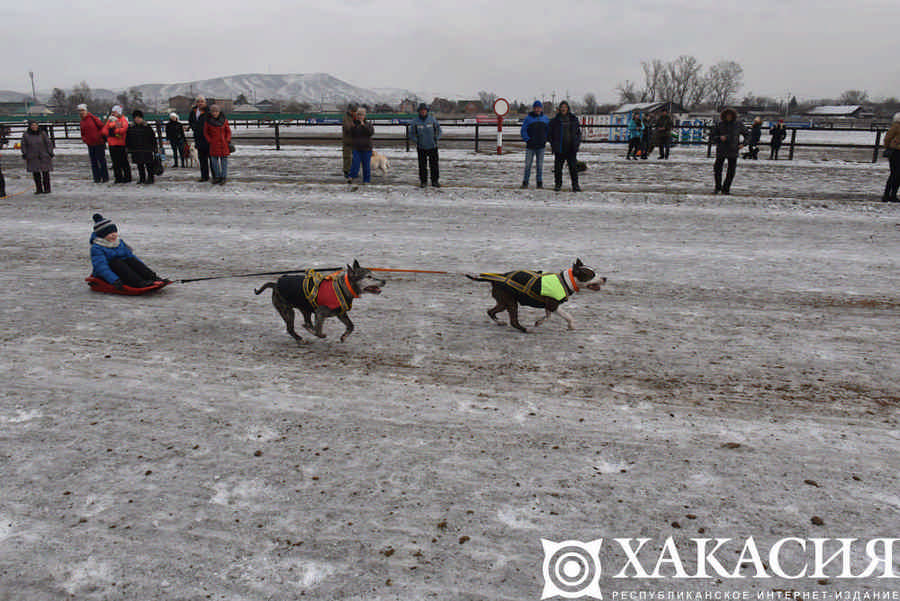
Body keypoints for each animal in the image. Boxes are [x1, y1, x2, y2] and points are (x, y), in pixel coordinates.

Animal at [251, 262, 384, 344]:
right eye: (369, 276)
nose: (384, 281)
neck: (344, 286)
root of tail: (275, 284)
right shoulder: (320, 312)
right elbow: (319, 331)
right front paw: (320, 334)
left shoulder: (341, 313)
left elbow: (351, 325)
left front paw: (344, 336)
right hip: (287, 310)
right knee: (291, 328)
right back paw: (300, 339)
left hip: (305, 309)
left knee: (307, 322)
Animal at [468, 258, 608, 332]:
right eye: (591, 275)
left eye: (595, 272)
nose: (605, 278)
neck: (567, 280)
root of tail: (495, 279)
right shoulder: (553, 305)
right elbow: (567, 316)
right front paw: (571, 325)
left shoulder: (549, 306)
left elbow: (548, 316)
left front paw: (539, 322)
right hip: (511, 302)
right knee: (513, 321)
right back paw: (525, 329)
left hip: (503, 302)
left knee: (490, 311)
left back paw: (500, 322)